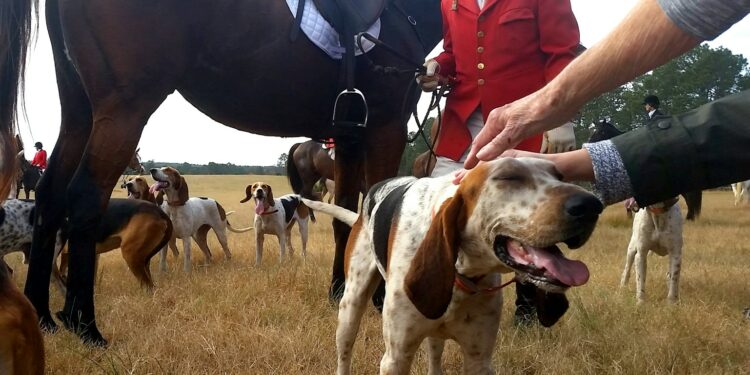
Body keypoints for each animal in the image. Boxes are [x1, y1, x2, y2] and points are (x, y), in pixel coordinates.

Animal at [0, 0, 444, 346]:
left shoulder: (351, 137)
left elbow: (346, 220)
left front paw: (340, 292)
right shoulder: (385, 127)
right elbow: (379, 215)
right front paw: (380, 302)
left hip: (79, 112)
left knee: (51, 195)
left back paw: (43, 315)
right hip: (123, 109)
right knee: (85, 197)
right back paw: (85, 325)